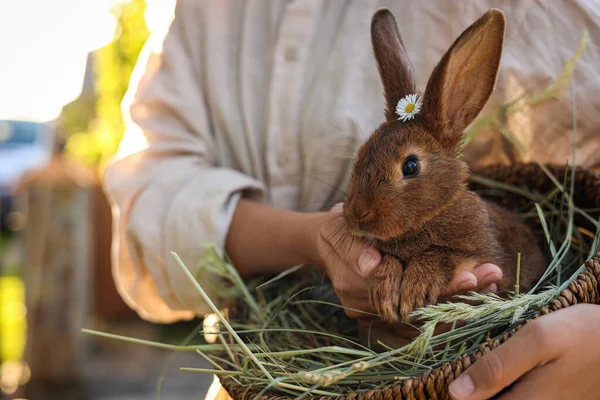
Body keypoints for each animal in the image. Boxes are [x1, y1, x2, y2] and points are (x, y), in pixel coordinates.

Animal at [342, 7, 548, 324]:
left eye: (410, 166)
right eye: (362, 154)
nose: (358, 213)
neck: (433, 213)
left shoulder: (485, 254)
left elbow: (442, 254)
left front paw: (415, 289)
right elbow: (388, 259)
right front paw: (385, 292)